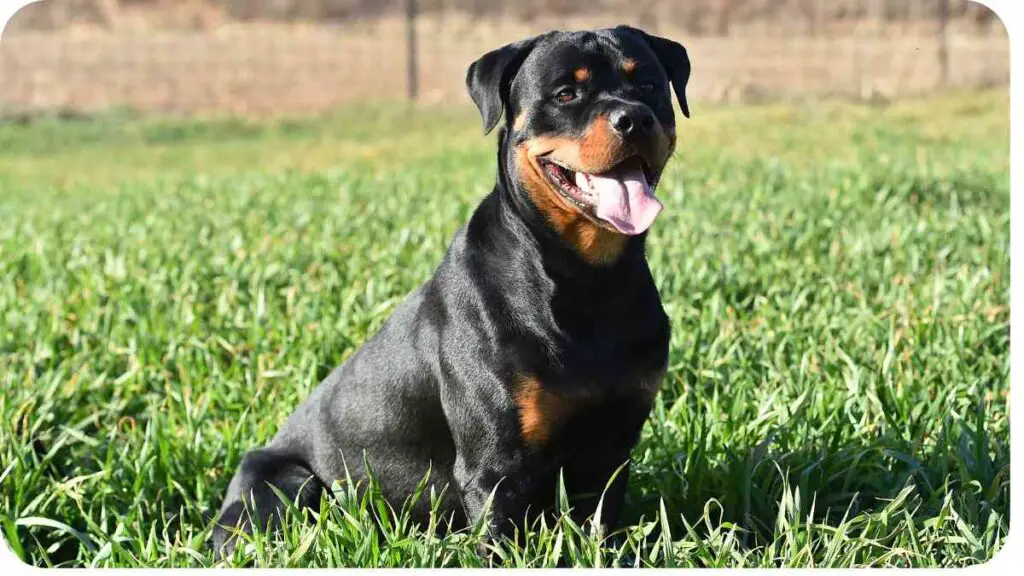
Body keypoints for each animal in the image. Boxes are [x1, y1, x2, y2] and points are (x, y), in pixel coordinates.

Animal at [214, 25, 696, 557]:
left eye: (648, 85)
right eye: (566, 93)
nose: (633, 117)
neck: (589, 280)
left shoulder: (611, 449)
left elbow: (601, 529)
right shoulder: (495, 467)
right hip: (285, 486)